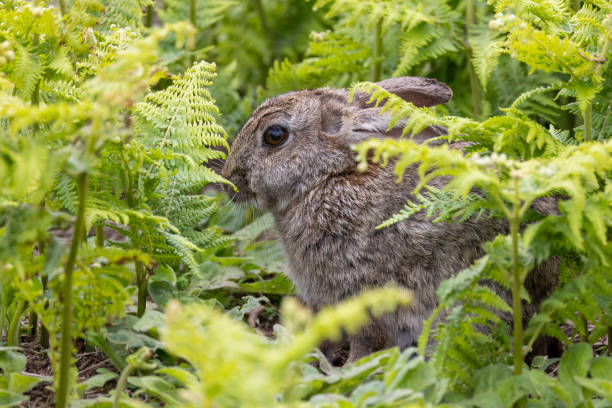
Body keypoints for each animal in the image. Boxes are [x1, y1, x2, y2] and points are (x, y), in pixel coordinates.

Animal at [221, 76, 560, 364]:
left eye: (274, 135)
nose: (229, 180)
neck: (327, 177)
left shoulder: (360, 292)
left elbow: (364, 340)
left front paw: (349, 368)